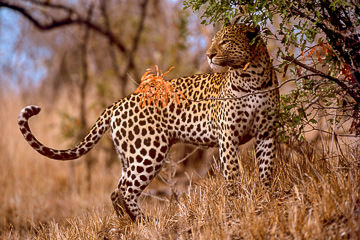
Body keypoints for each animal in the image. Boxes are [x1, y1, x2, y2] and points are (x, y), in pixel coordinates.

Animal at [18, 23, 280, 221]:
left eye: (225, 41)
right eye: (215, 40)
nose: (209, 54)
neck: (251, 77)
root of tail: (120, 102)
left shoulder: (266, 133)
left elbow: (267, 170)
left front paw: (268, 198)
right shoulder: (228, 136)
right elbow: (233, 174)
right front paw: (235, 204)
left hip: (131, 154)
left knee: (116, 190)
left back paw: (127, 224)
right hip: (148, 151)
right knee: (126, 190)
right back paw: (144, 221)